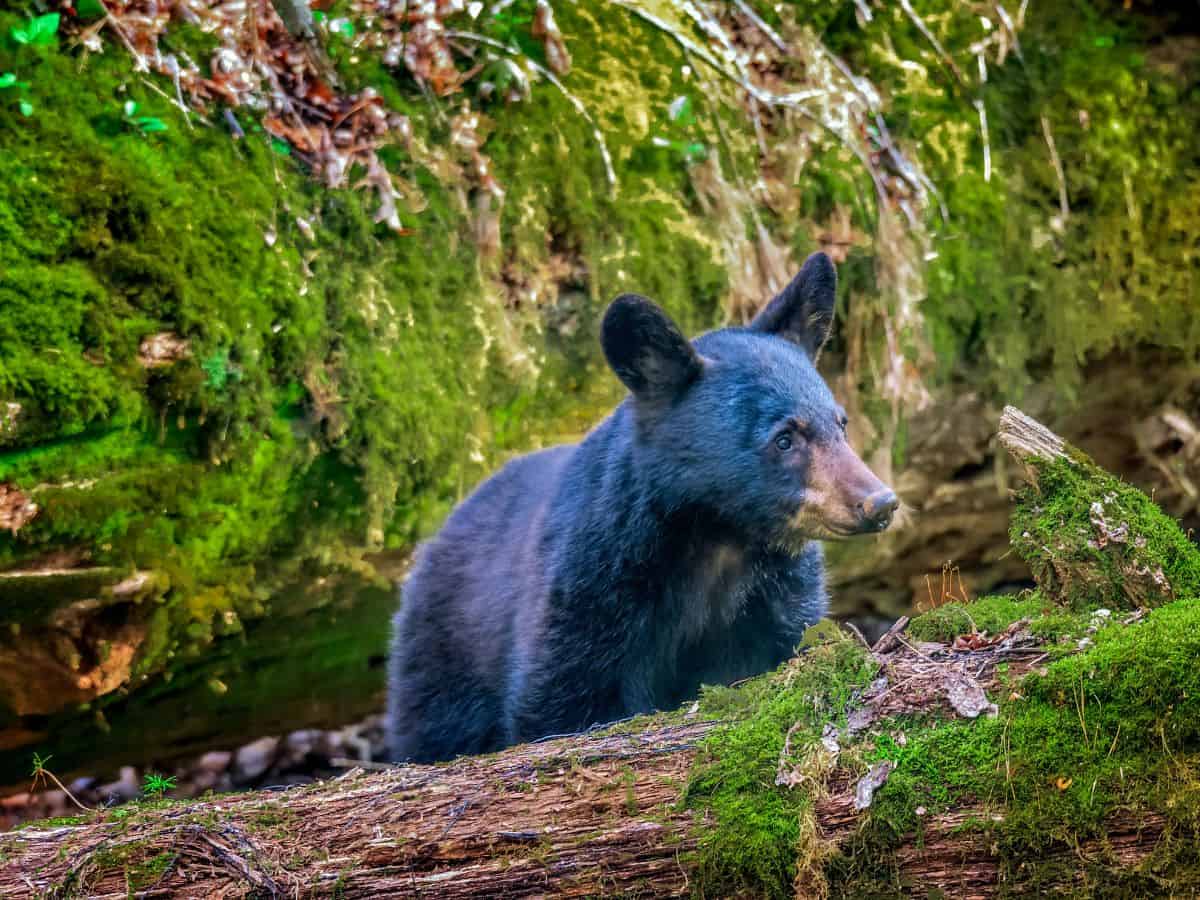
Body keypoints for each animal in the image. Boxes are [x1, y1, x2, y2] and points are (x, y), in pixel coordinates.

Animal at [387, 251, 898, 763]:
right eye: (785, 438)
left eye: (840, 423)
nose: (879, 502)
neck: (716, 540)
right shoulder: (591, 593)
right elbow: (559, 699)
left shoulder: (776, 599)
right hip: (444, 654)